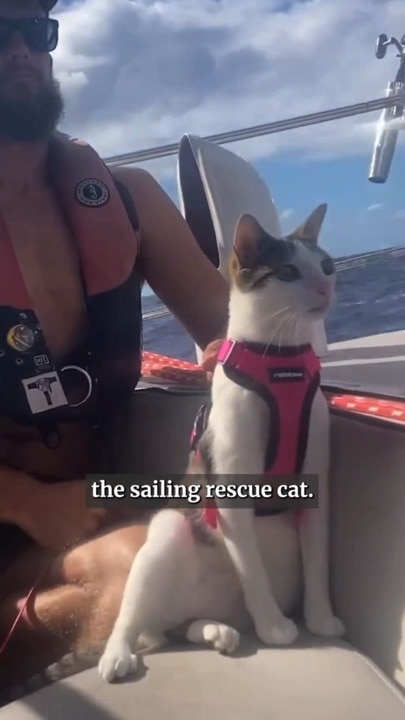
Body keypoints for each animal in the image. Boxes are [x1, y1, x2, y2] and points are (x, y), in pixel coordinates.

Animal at [95, 201, 344, 680]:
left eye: (326, 265)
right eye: (288, 272)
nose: (325, 287)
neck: (280, 362)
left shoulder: (316, 480)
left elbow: (319, 560)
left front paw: (320, 617)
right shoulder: (231, 489)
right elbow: (252, 571)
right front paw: (273, 626)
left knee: (184, 626)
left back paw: (215, 630)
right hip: (169, 532)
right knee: (135, 619)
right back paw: (117, 653)